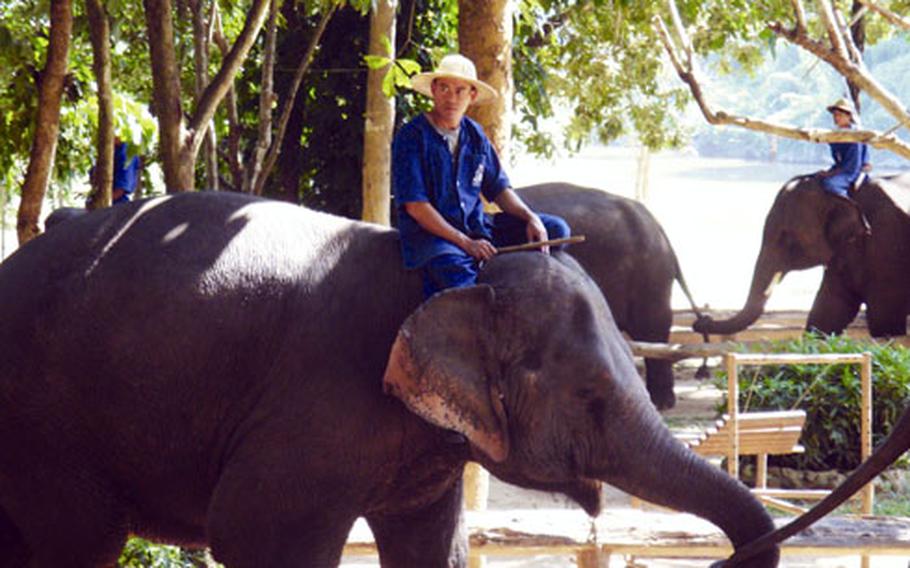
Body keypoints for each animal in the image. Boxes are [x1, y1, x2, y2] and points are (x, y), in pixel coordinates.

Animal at [700, 171, 910, 336]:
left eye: (785, 237)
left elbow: (884, 320)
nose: (702, 320)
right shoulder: (842, 254)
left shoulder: (887, 243)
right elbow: (828, 313)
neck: (848, 189)